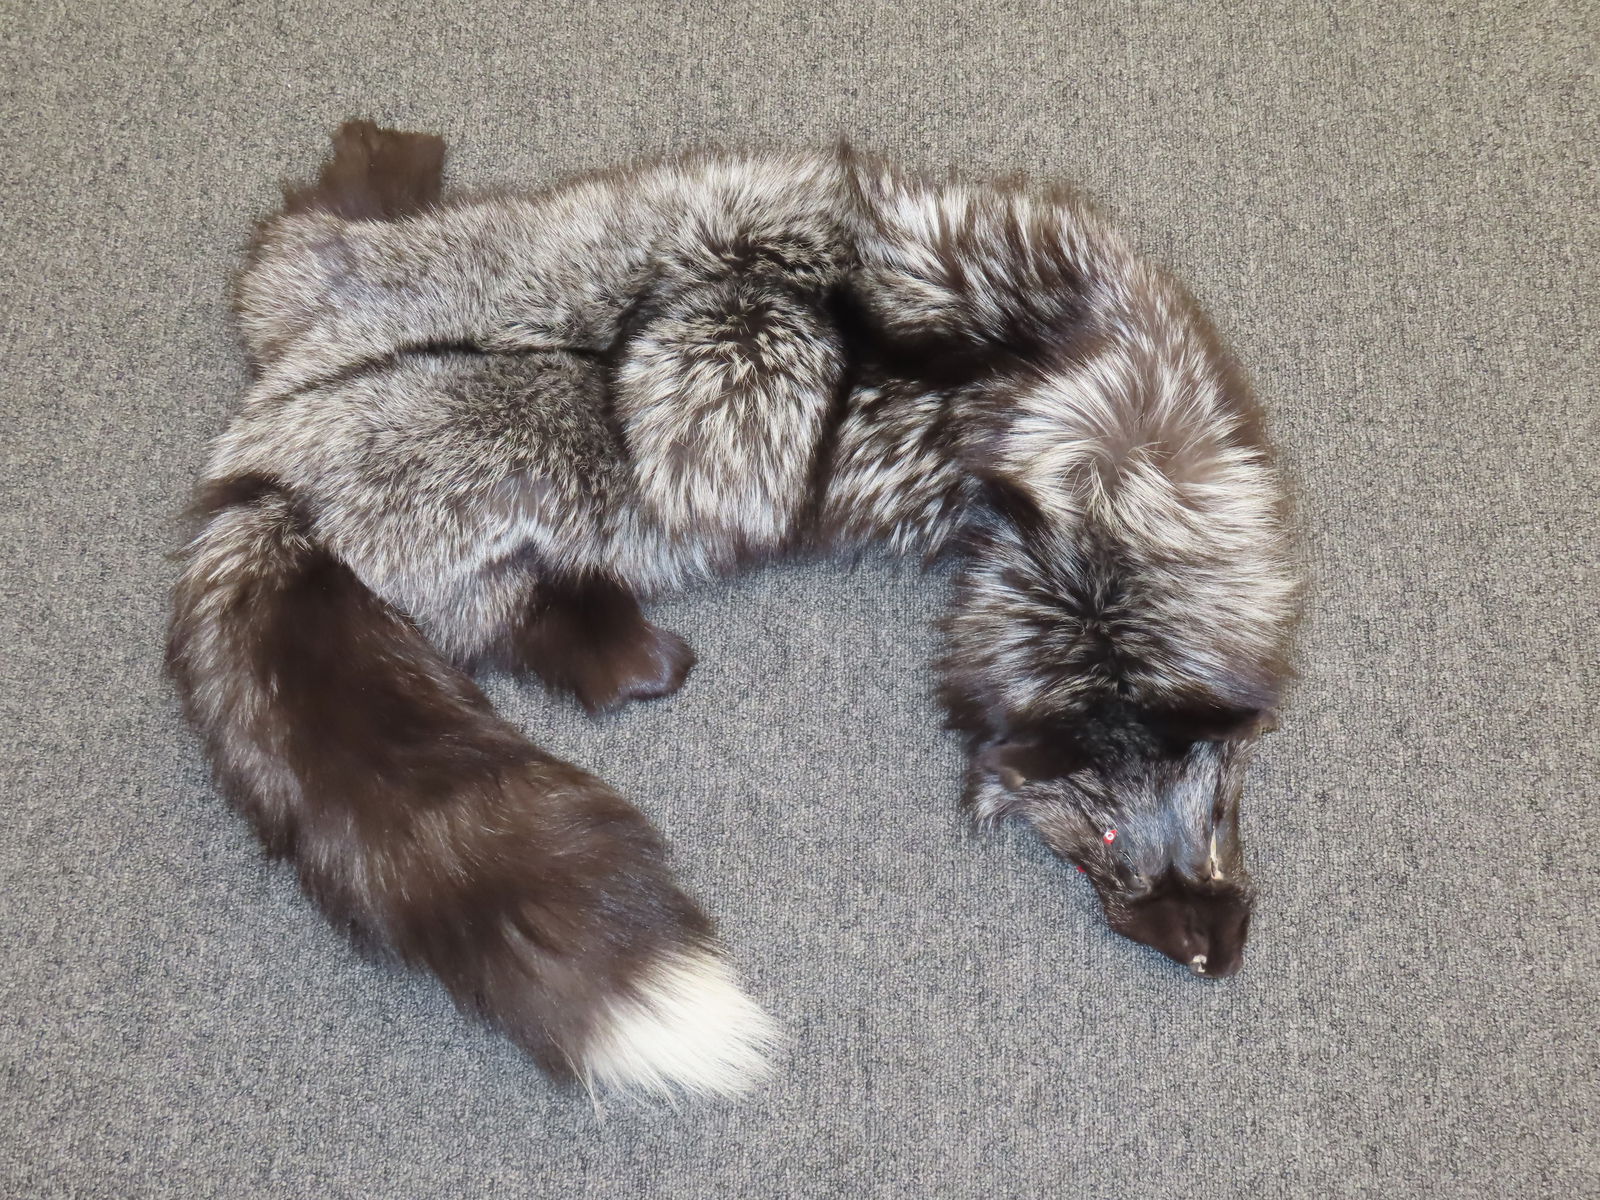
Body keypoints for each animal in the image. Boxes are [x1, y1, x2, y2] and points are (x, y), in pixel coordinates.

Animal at [168, 122, 1299, 1098]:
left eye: (1213, 819)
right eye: (1097, 843)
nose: (1215, 955)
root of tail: (262, 461)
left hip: (332, 281)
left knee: (290, 240)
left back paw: (380, 162)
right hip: (494, 569)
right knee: (539, 631)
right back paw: (634, 655)